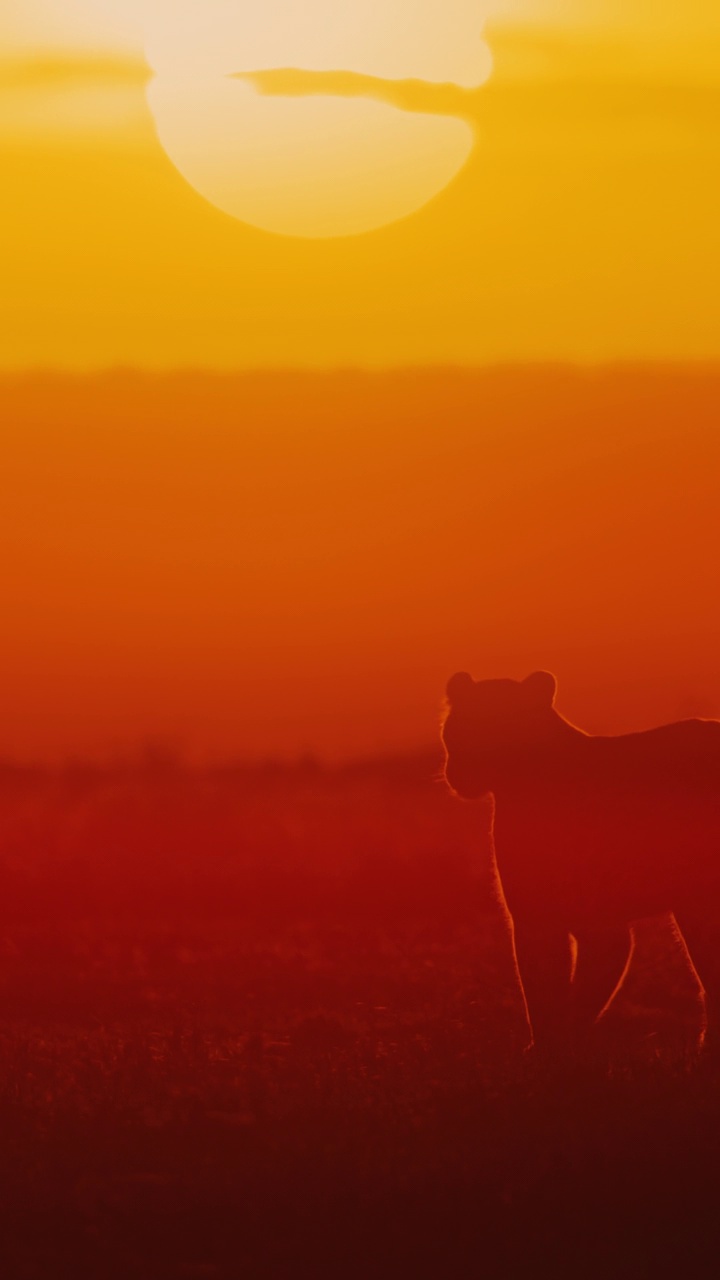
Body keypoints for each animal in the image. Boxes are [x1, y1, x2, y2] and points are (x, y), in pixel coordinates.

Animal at [440, 675, 717, 1054]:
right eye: (458, 728)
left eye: (498, 728)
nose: (457, 771)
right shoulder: (567, 922)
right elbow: (556, 993)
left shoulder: (568, 923)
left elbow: (557, 994)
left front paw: (551, 1053)